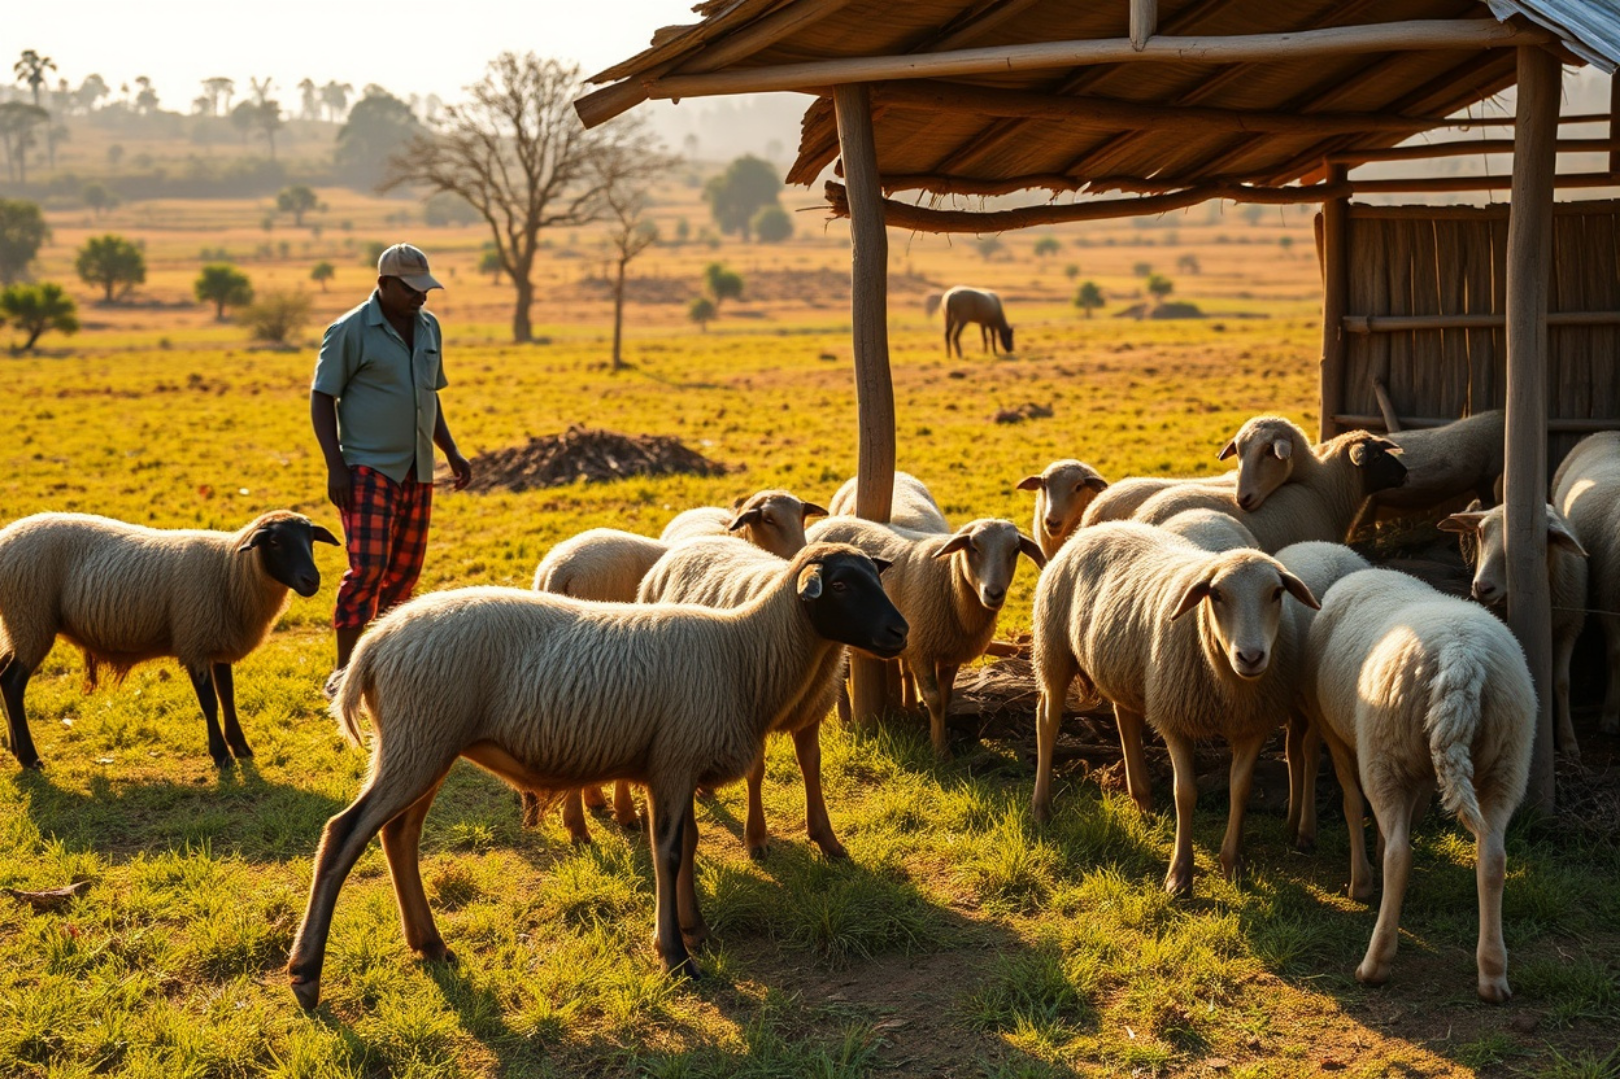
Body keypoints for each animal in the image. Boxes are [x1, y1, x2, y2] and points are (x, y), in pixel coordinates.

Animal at [0, 510, 339, 768]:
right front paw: (221, 756)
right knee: (12, 682)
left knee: (3, 674)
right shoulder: (195, 642)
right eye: (275, 542)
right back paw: (30, 758)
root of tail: (6, 538)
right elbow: (209, 703)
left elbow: (228, 697)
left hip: (19, 624)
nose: (312, 581)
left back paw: (15, 748)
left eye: (310, 540)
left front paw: (241, 747)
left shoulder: (219, 643)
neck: (230, 570)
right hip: (30, 618)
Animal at [637, 538, 848, 859]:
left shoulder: (810, 715)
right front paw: (756, 838)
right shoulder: (752, 716)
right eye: (839, 585)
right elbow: (756, 773)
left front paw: (826, 838)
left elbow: (811, 767)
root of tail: (693, 541)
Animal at [807, 515, 1044, 756]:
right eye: (973, 547)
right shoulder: (921, 649)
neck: (950, 583)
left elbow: (946, 697)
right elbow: (935, 699)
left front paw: (943, 738)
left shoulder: (952, 653)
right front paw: (939, 749)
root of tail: (826, 522)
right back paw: (845, 719)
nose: (994, 593)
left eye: (1015, 550)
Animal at [1030, 521, 1319, 898]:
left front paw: (1233, 864)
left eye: (1276, 593)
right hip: (1053, 648)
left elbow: (1240, 790)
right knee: (1047, 720)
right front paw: (1180, 876)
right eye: (1216, 595)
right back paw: (1041, 806)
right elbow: (1186, 794)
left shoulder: (1253, 725)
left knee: (1126, 718)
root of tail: (1093, 528)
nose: (1251, 657)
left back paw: (1143, 799)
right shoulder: (1175, 719)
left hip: (1124, 667)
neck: (1227, 686)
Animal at [1300, 566, 1534, 1002]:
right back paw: (1493, 974)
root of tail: (1461, 660)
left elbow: (1352, 805)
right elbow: (1411, 813)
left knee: (1400, 855)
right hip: (1506, 760)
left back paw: (1375, 962)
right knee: (1492, 858)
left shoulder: (1336, 737)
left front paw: (1361, 881)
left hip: (1384, 750)